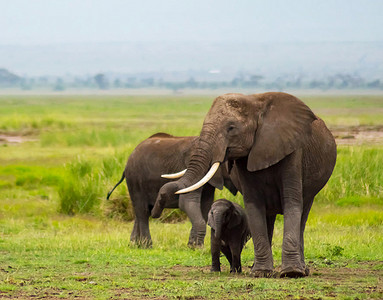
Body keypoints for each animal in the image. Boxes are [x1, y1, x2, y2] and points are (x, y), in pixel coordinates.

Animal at [105, 132, 237, 247]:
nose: (157, 211)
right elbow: (188, 203)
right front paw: (195, 247)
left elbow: (205, 205)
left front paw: (194, 246)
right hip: (135, 178)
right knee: (142, 210)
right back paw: (147, 246)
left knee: (141, 210)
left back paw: (134, 244)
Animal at [152, 92, 338, 278]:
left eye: (231, 128)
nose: (156, 211)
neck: (255, 102)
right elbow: (254, 205)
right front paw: (261, 273)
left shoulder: (293, 150)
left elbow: (291, 201)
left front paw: (292, 273)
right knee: (269, 217)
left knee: (303, 216)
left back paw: (302, 269)